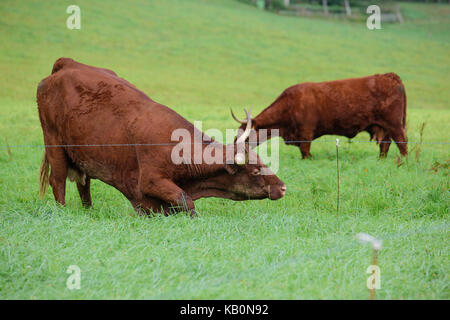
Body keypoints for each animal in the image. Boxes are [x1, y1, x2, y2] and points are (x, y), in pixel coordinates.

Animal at [38, 58, 284, 218]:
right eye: (255, 170)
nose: (282, 188)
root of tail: (67, 64)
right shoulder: (151, 181)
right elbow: (187, 201)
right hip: (54, 143)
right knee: (57, 181)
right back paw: (63, 212)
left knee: (84, 184)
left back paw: (89, 211)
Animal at [232, 72, 408, 158]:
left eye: (245, 134)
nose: (233, 147)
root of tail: (389, 76)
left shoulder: (306, 133)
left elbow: (305, 153)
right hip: (385, 127)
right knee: (386, 144)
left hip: (394, 125)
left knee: (402, 142)